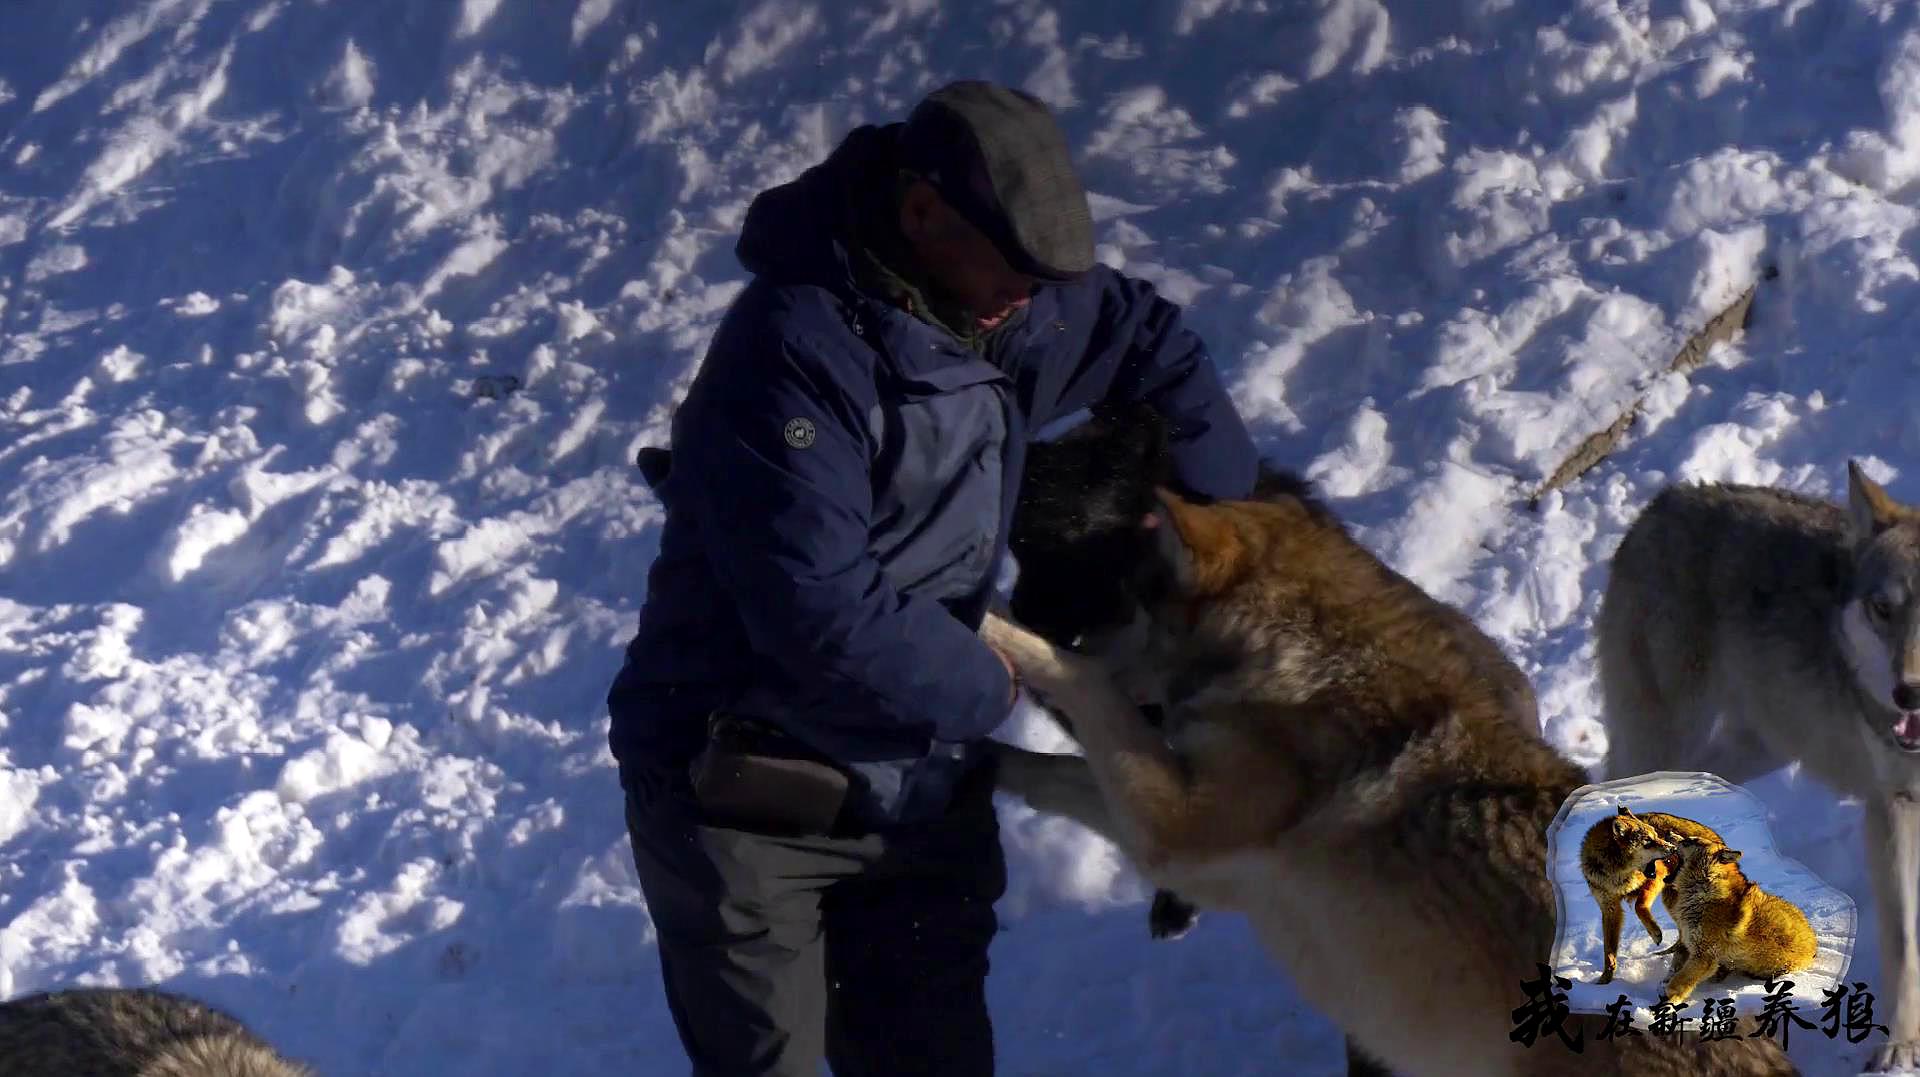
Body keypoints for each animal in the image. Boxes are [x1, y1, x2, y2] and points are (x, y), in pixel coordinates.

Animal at [1582, 806, 1735, 982]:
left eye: (1655, 835)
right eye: (1648, 841)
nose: (1673, 848)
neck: (1619, 876)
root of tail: (1717, 841)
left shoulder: (1656, 877)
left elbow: (1639, 905)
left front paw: (1655, 933)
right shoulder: (1609, 908)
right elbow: (1609, 950)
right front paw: (1605, 978)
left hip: (1675, 901)